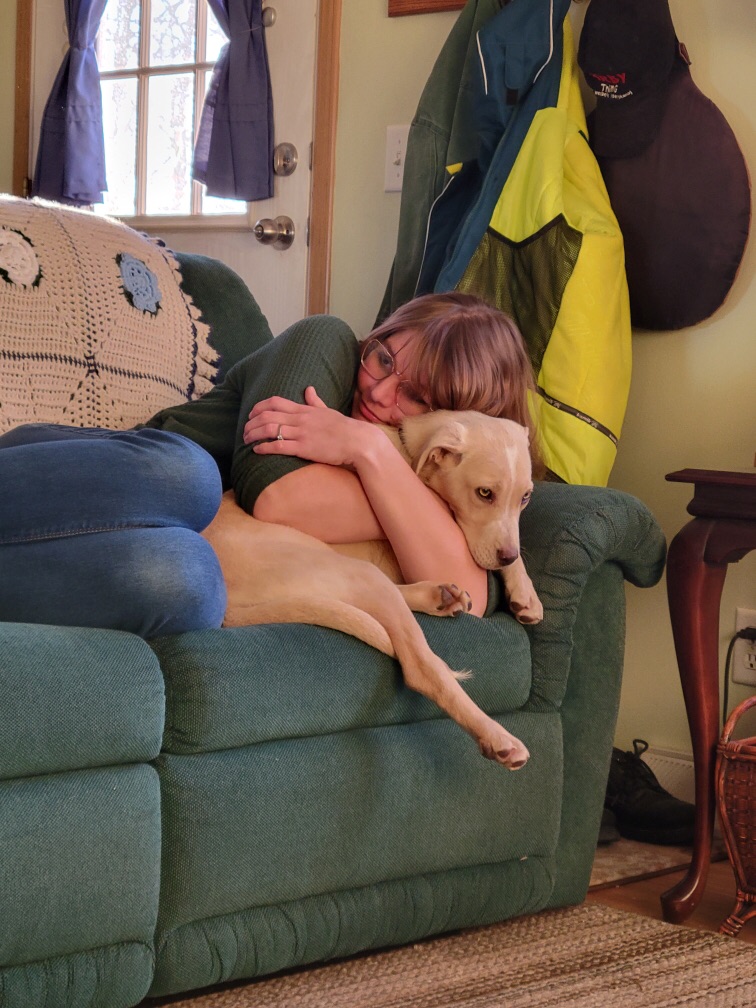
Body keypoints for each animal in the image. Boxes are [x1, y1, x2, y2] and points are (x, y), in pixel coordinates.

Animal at [201, 411, 541, 770]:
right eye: (484, 492)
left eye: (525, 497)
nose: (507, 557)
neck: (410, 452)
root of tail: (224, 607)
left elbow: (509, 540)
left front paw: (525, 593)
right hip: (357, 573)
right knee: (421, 668)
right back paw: (496, 736)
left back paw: (438, 596)